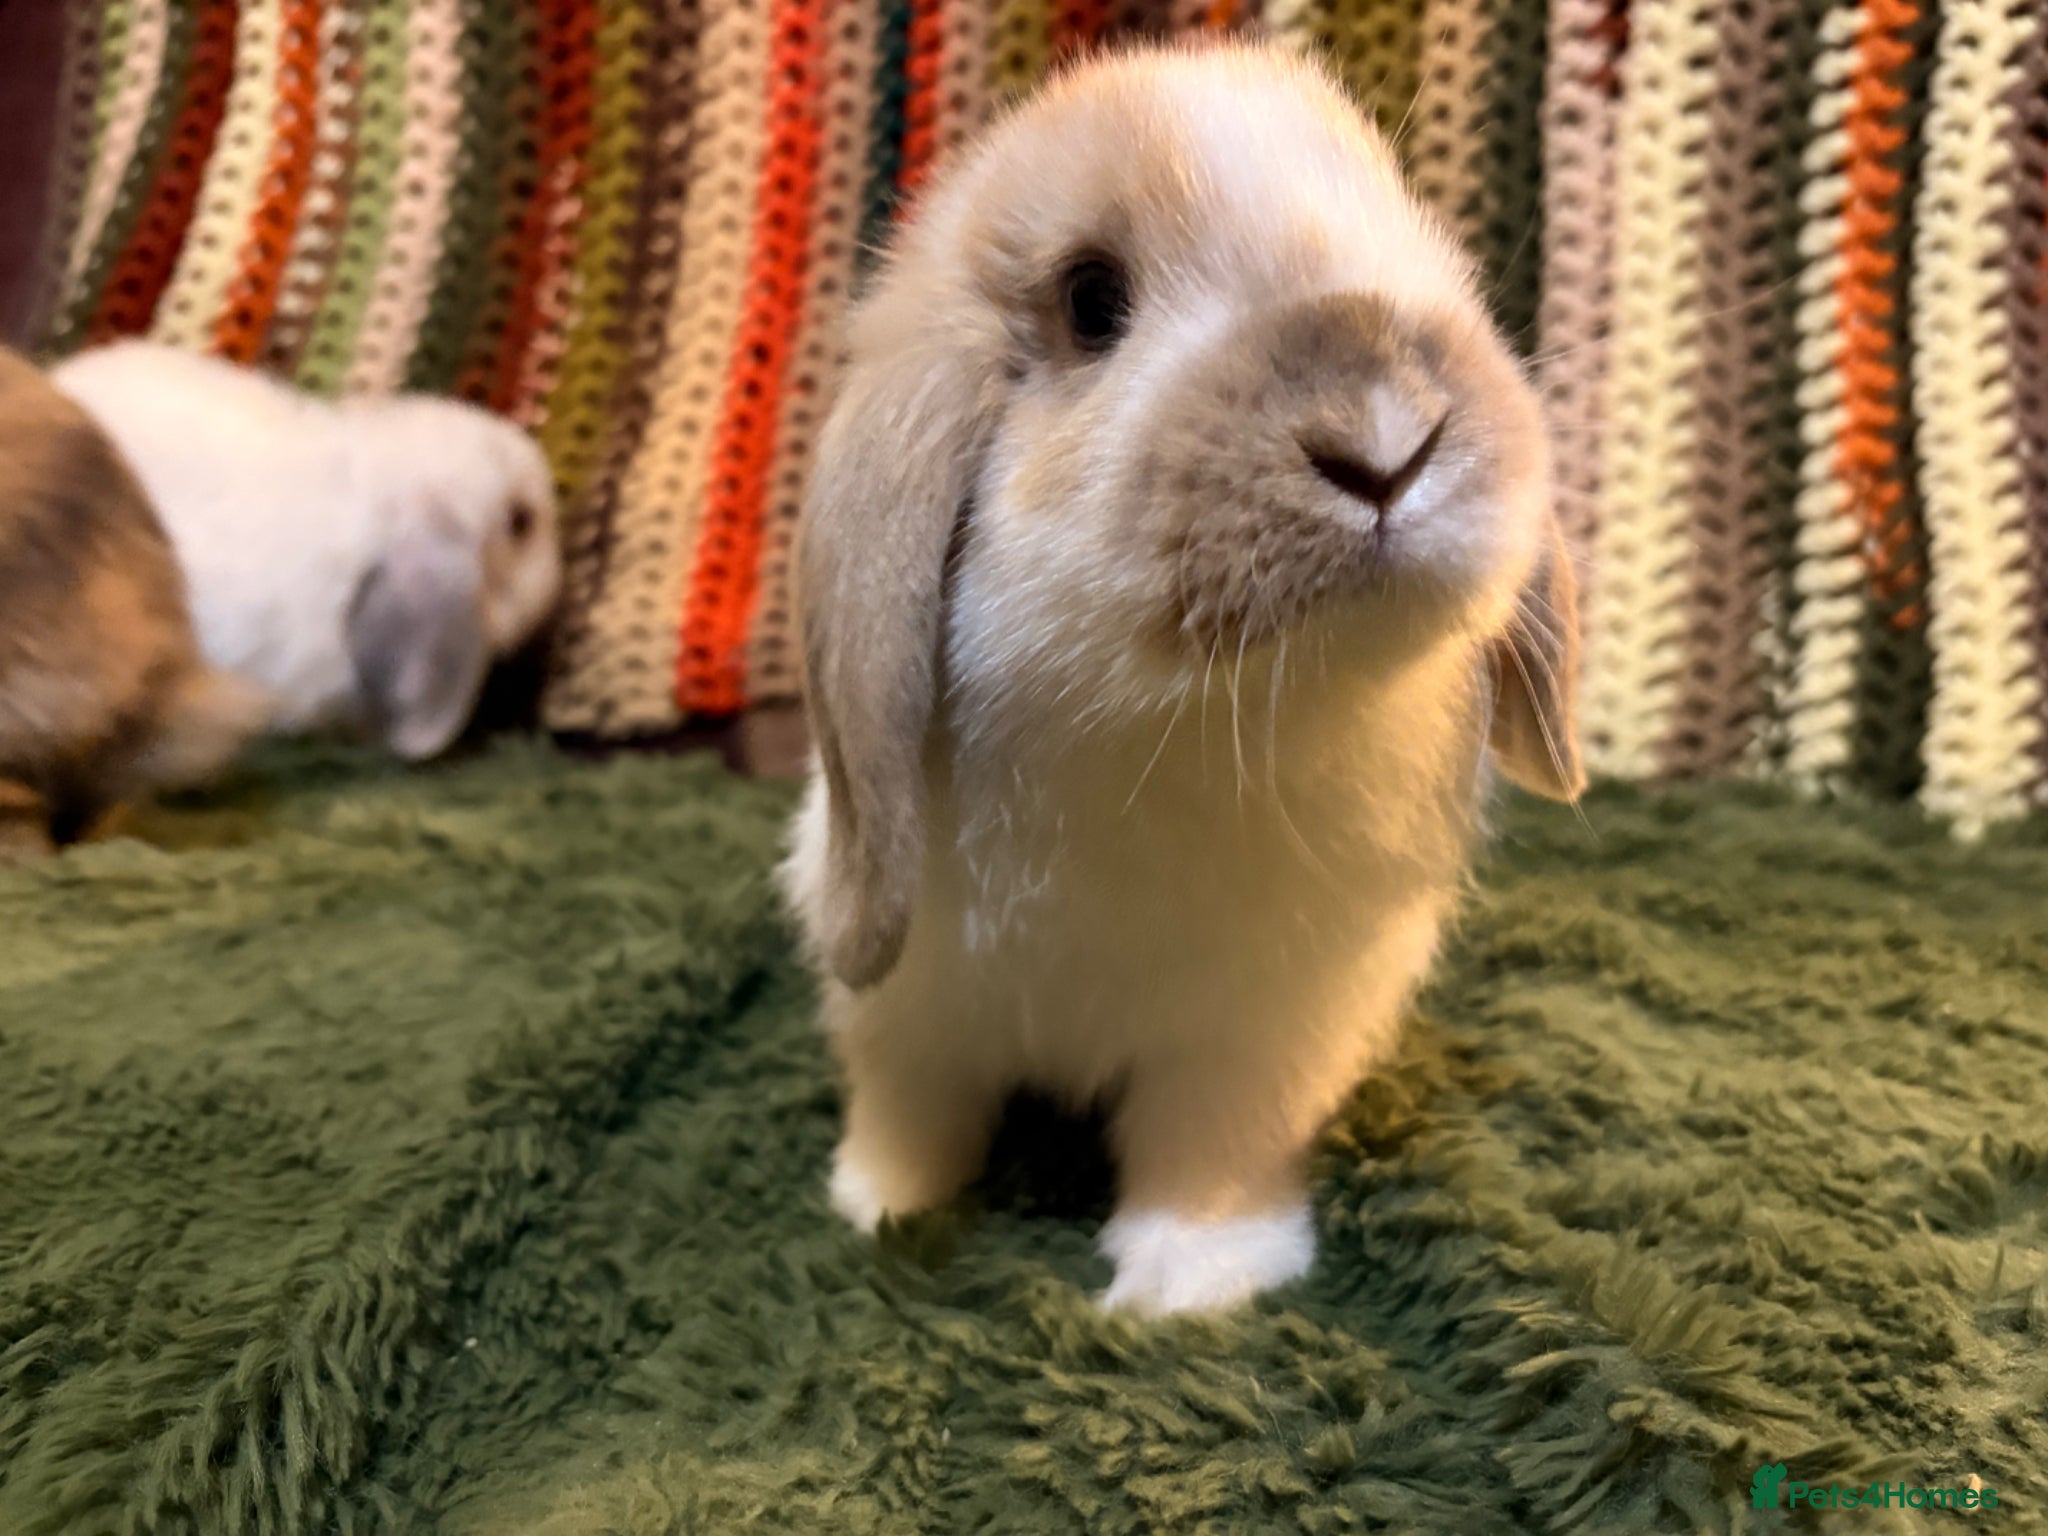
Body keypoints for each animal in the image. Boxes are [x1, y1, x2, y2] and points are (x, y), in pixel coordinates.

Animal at [781, 39, 1584, 1317]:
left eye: (1408, 237)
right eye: (1089, 300)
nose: (1385, 440)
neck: (1184, 736)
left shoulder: (1259, 1041)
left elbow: (1208, 1150)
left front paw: (1192, 1286)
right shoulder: (907, 1016)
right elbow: (913, 1114)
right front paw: (879, 1210)